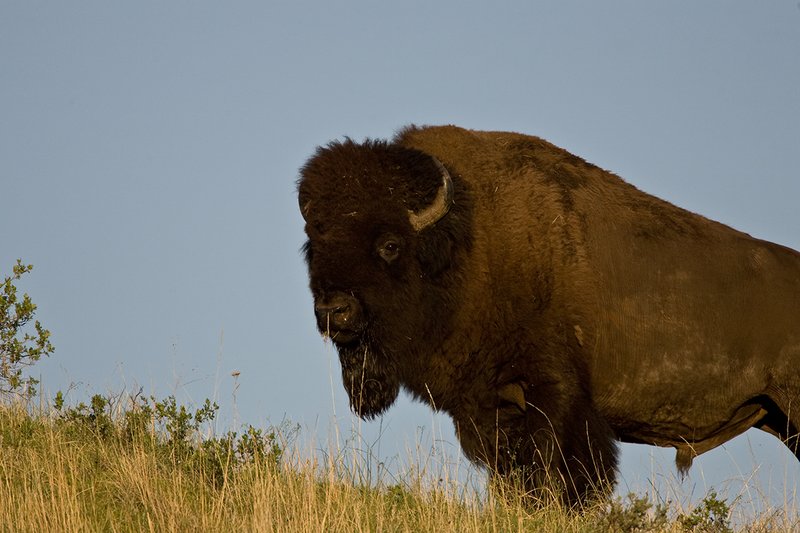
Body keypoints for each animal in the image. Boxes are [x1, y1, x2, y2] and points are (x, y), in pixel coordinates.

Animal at [297, 125, 800, 506]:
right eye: (314, 244)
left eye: (390, 244)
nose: (334, 311)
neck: (467, 242)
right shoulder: (487, 409)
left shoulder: (555, 394)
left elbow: (558, 470)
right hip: (777, 418)